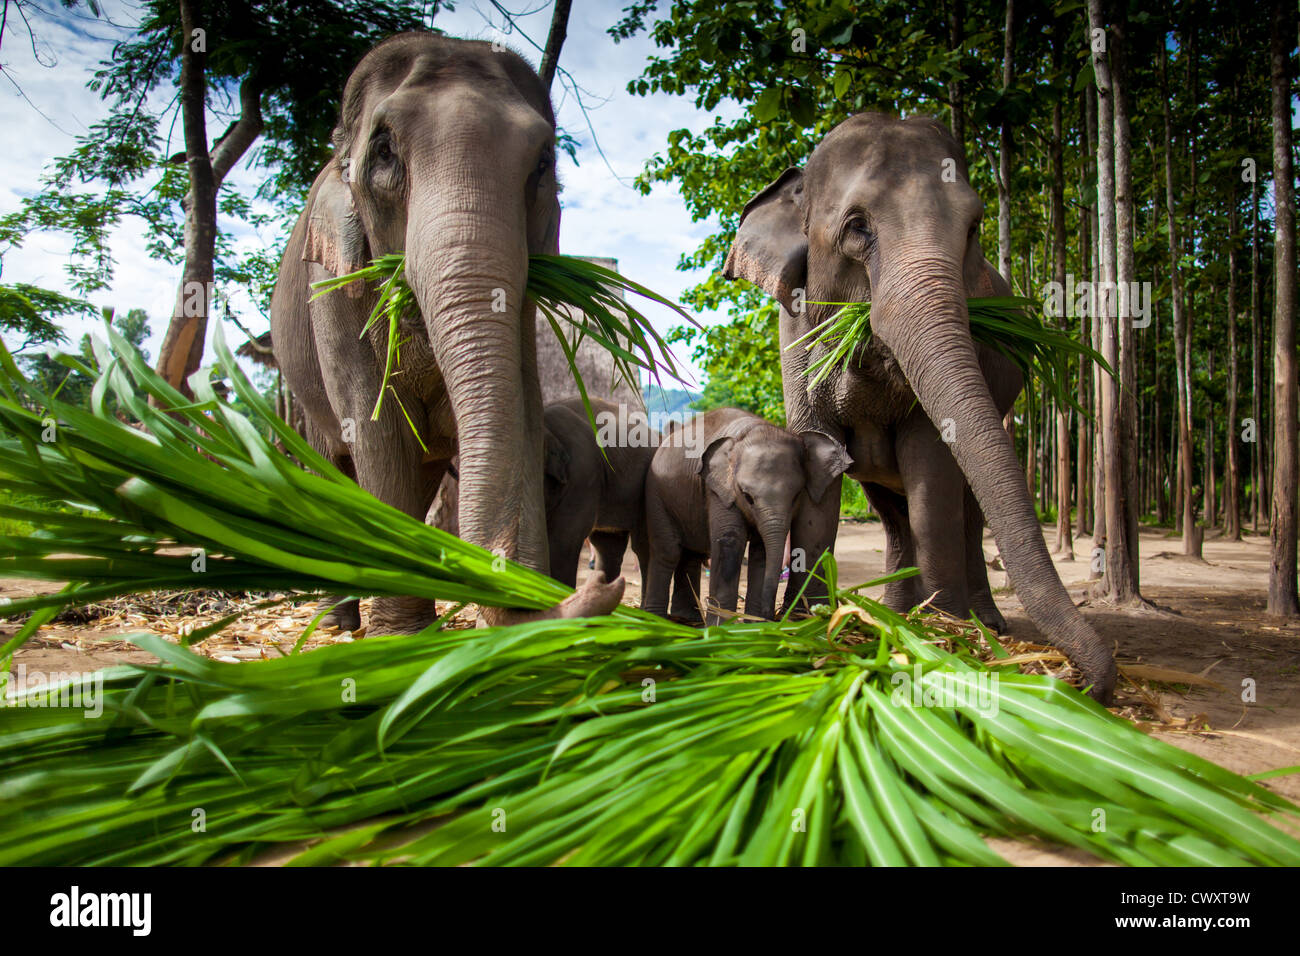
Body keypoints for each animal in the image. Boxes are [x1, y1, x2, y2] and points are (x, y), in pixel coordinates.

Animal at [269, 31, 618, 634]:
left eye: (543, 163)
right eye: (385, 151)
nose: (598, 588)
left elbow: (522, 408)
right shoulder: (332, 286)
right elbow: (376, 429)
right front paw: (400, 636)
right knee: (334, 462)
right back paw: (338, 622)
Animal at [642, 408, 852, 624]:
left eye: (796, 496)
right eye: (747, 497)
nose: (771, 616)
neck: (753, 430)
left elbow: (761, 552)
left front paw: (753, 624)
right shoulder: (718, 491)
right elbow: (730, 542)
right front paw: (723, 627)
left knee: (692, 554)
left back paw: (688, 618)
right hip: (655, 494)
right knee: (668, 551)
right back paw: (655, 619)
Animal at [722, 113, 1118, 702]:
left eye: (974, 227)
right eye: (857, 227)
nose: (1083, 684)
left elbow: (932, 467)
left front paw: (943, 631)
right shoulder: (791, 334)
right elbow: (820, 465)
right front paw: (808, 623)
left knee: (966, 509)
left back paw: (979, 621)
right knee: (890, 512)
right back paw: (892, 611)